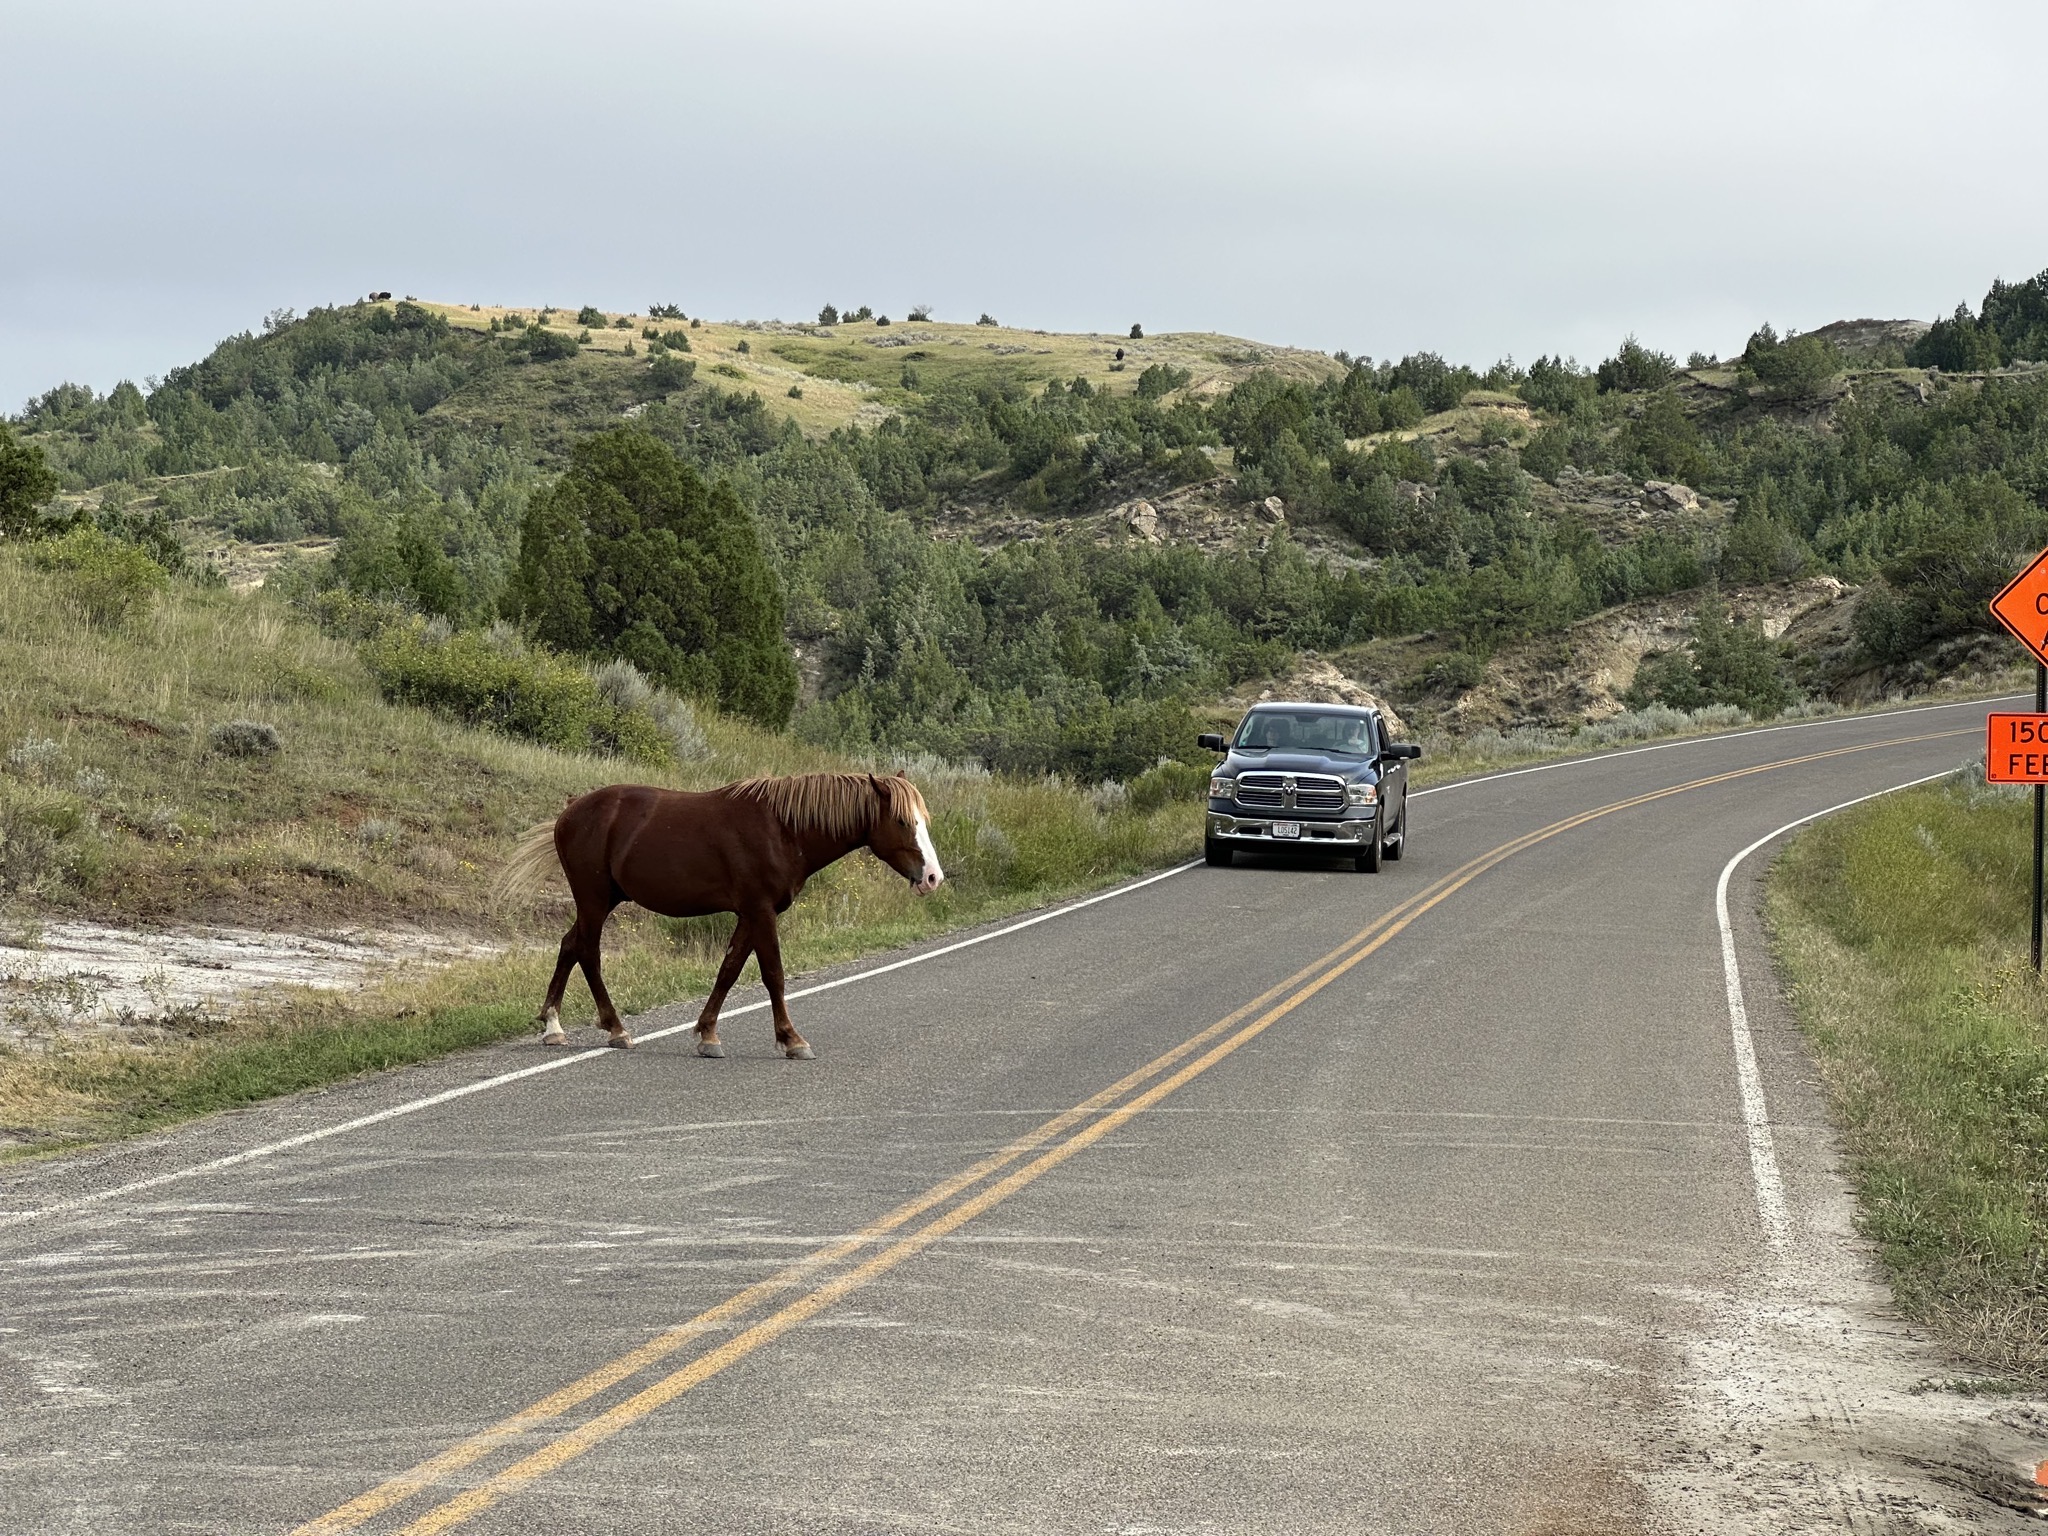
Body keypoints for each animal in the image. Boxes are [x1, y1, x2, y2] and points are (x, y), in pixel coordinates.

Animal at [495, 772, 943, 1058]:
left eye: (924, 820)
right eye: (902, 820)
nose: (932, 877)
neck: (783, 829)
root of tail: (571, 810)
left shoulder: (749, 913)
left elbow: (729, 971)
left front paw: (708, 1034)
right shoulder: (761, 912)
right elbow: (773, 974)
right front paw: (791, 1039)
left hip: (604, 900)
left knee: (570, 944)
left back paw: (553, 1026)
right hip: (593, 898)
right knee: (588, 952)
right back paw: (616, 1028)